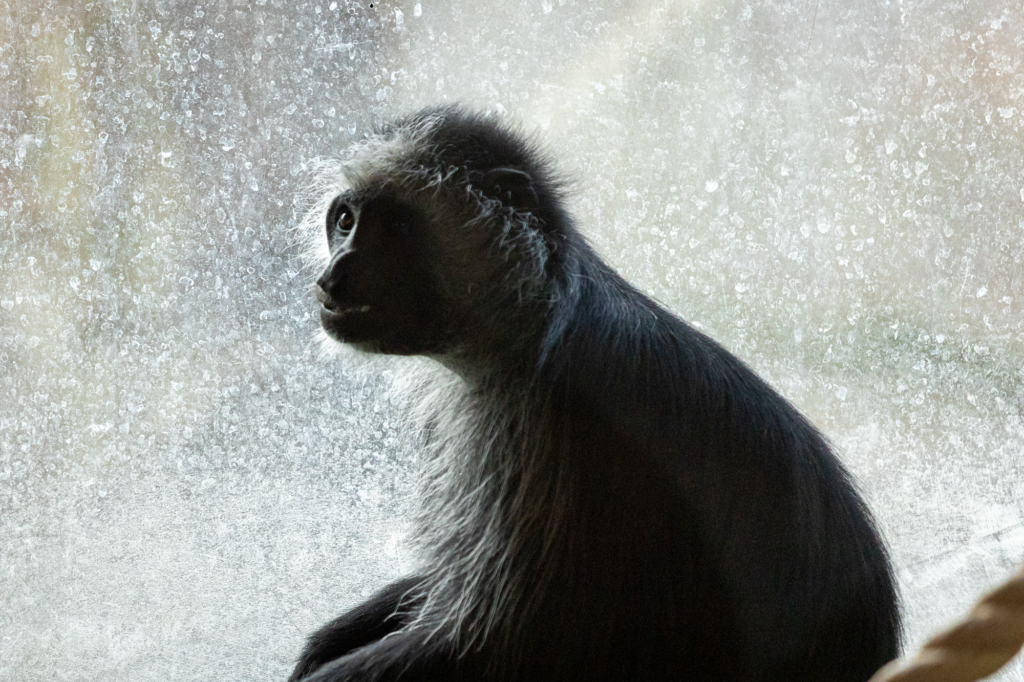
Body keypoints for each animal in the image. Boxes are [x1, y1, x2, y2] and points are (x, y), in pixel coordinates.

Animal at [289, 106, 901, 682]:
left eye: (393, 229)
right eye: (344, 222)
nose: (332, 277)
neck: (532, 319)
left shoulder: (543, 429)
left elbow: (491, 644)